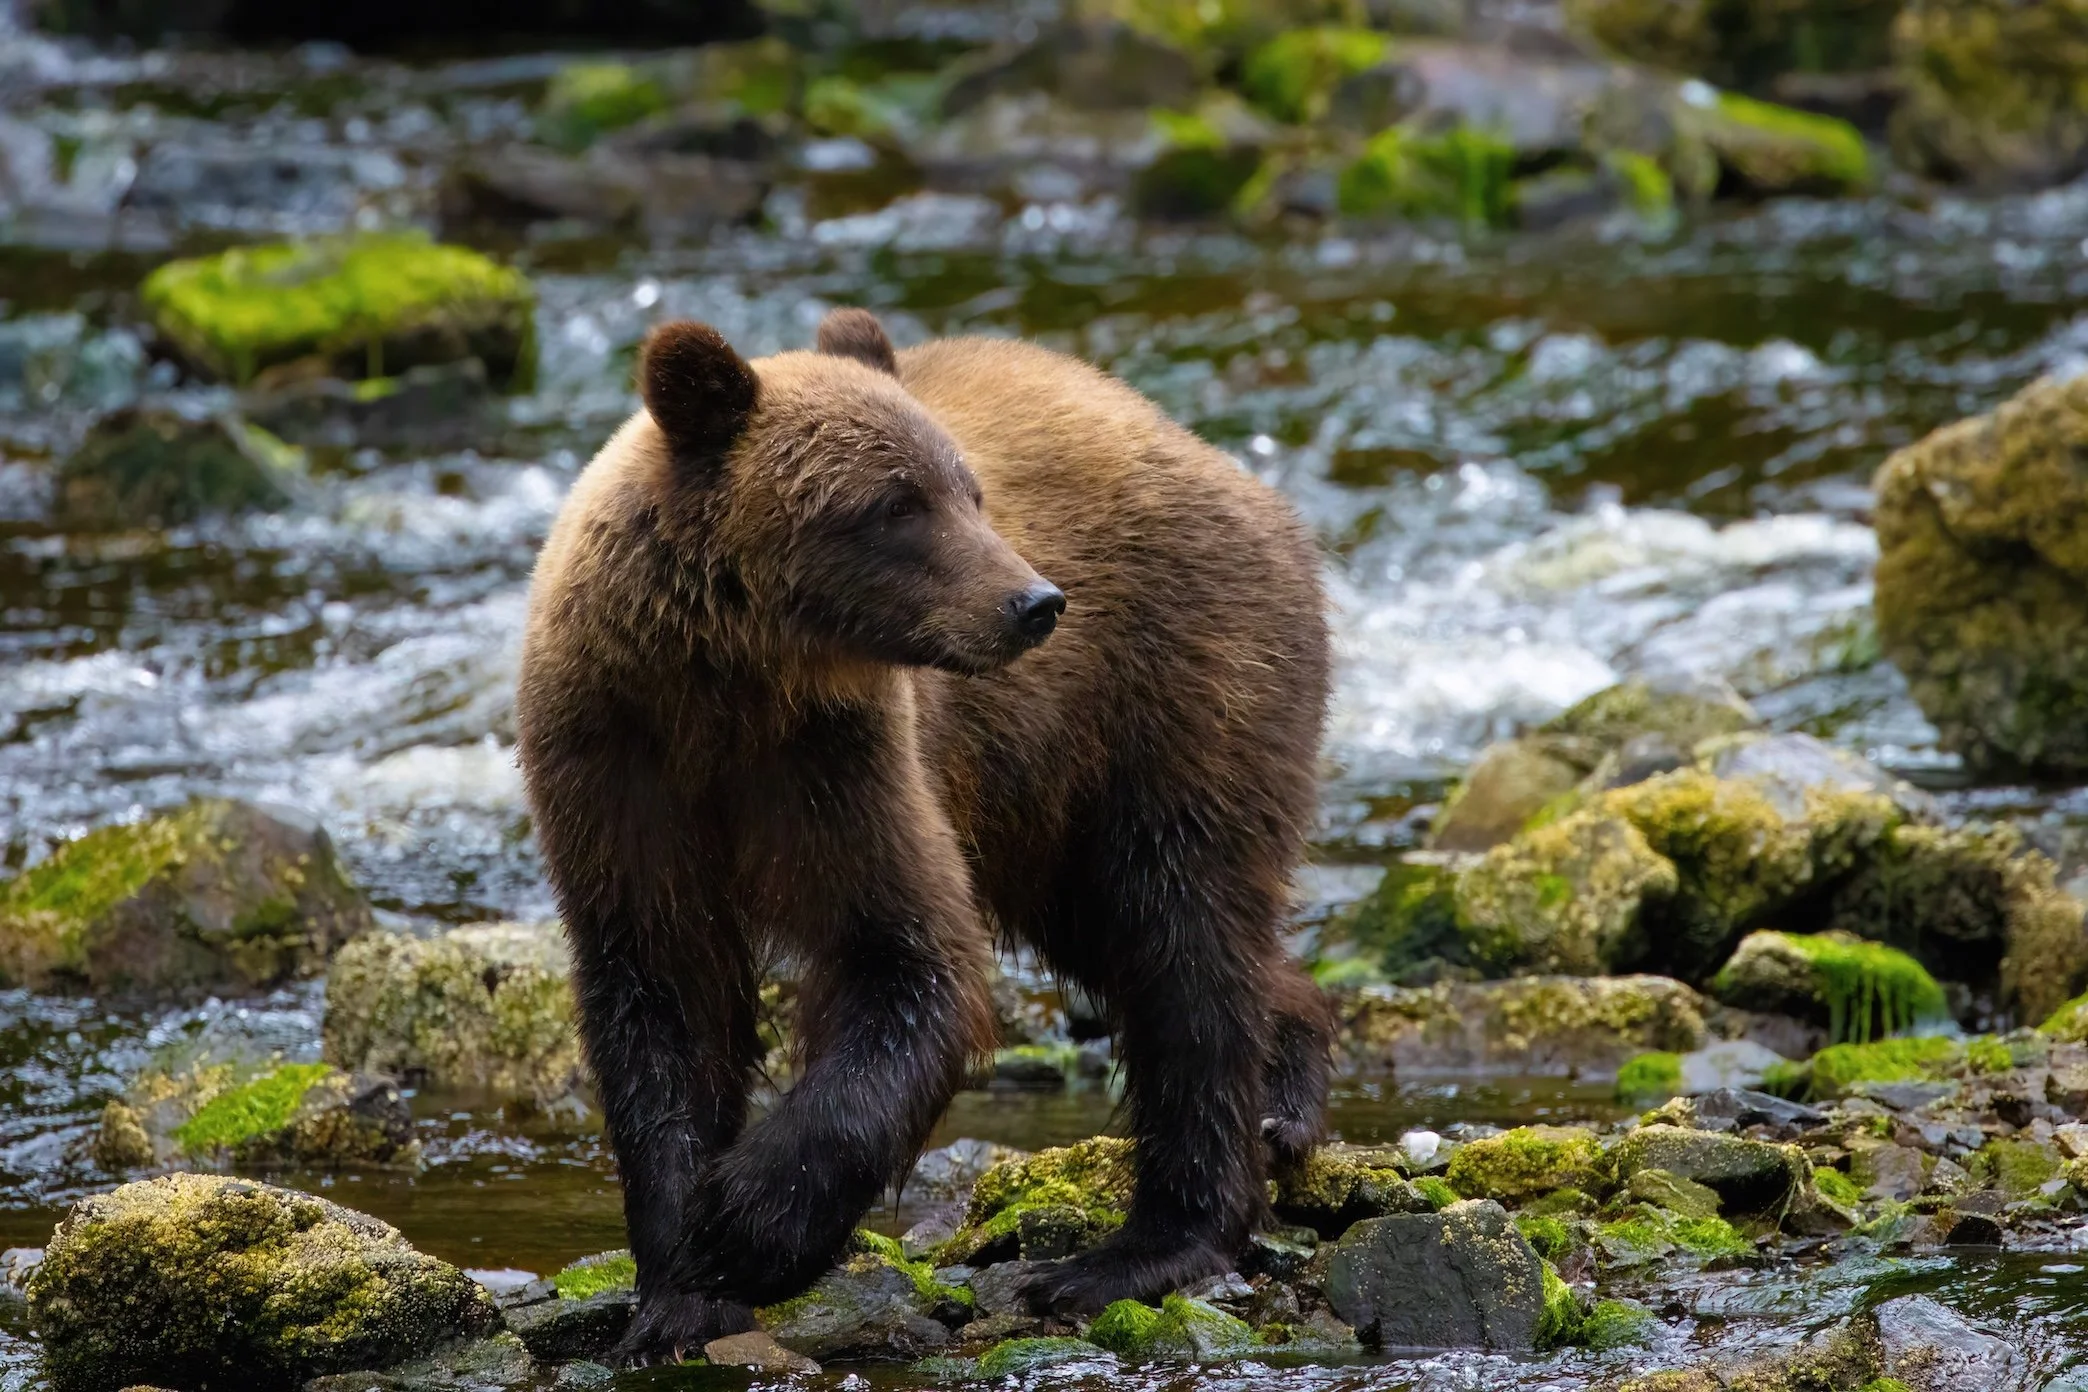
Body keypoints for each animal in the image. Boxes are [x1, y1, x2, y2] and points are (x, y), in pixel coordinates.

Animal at [514, 308, 1333, 1364]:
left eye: (969, 491)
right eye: (895, 505)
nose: (1036, 603)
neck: (729, 687)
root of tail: (1231, 470)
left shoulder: (842, 762)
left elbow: (908, 959)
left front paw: (747, 1220)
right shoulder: (619, 770)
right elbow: (658, 997)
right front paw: (675, 1292)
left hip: (1180, 692)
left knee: (1184, 937)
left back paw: (1142, 1246)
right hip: (1043, 804)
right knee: (1149, 936)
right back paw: (1284, 1094)